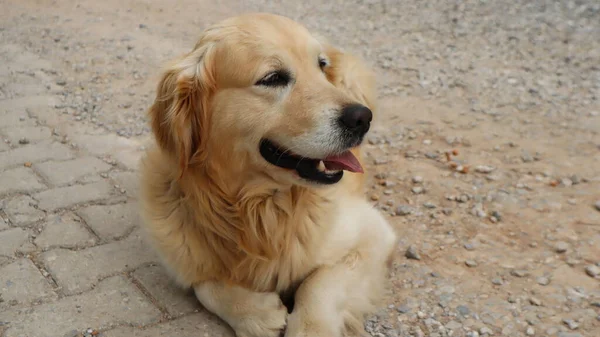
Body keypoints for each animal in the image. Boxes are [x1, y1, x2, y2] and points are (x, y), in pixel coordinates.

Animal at [138, 11, 396, 336]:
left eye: (321, 66)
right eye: (273, 78)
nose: (361, 118)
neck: (259, 210)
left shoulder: (373, 236)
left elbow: (318, 285)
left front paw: (310, 327)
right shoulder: (181, 254)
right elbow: (205, 284)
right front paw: (257, 313)